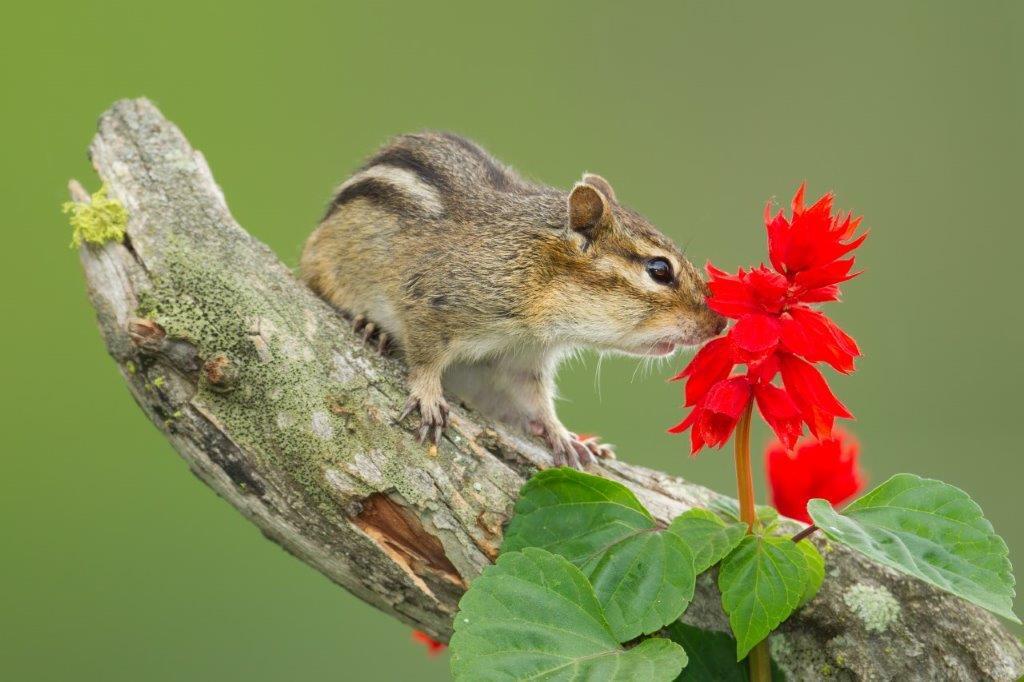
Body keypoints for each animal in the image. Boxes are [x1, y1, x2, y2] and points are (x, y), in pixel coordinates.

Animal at [300, 132, 725, 468]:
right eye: (659, 270)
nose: (719, 323)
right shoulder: (429, 300)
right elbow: (424, 356)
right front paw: (427, 395)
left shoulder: (523, 359)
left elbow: (535, 401)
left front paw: (561, 433)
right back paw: (370, 326)